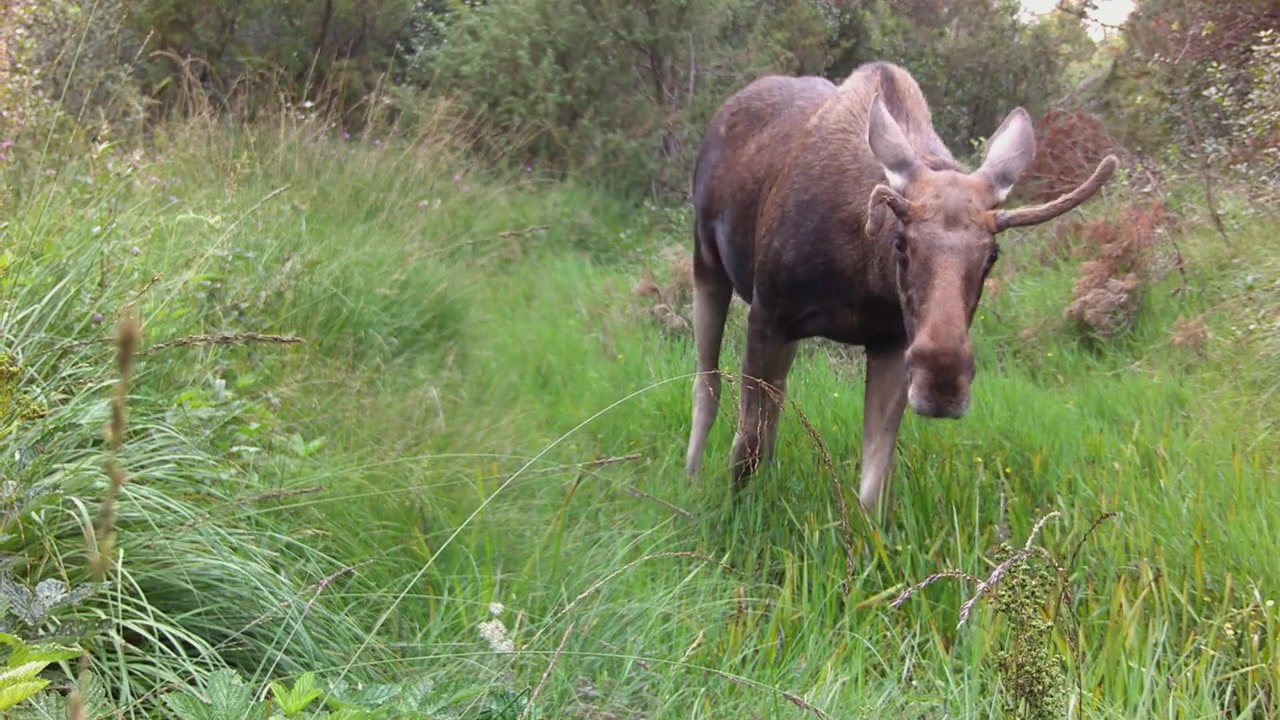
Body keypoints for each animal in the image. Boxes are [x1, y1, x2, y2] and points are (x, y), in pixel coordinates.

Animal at [683, 61, 1117, 520]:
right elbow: (746, 443)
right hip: (707, 263)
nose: (942, 383)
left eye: (993, 255)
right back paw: (691, 475)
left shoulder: (891, 343)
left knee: (774, 398)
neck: (861, 276)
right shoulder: (767, 315)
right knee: (707, 382)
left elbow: (874, 483)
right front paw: (732, 512)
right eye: (901, 242)